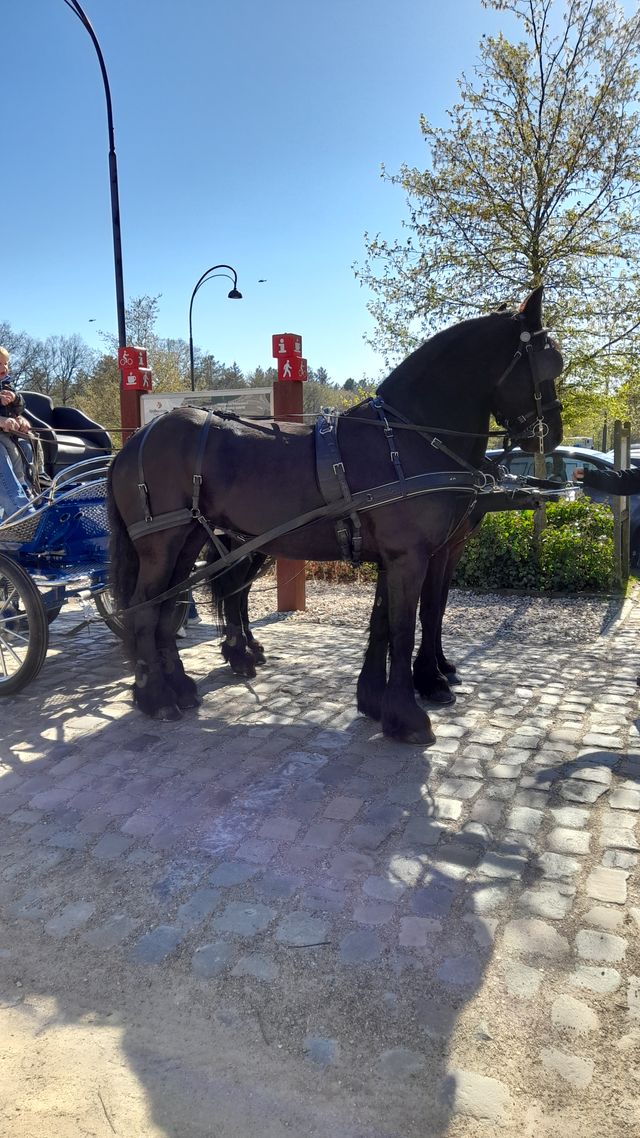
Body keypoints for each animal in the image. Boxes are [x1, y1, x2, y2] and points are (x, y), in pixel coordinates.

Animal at [107, 285, 563, 744]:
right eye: (549, 364)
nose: (552, 433)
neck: (405, 438)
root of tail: (137, 439)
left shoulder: (401, 557)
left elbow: (386, 623)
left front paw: (378, 701)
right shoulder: (413, 557)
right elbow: (408, 625)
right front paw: (411, 711)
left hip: (193, 541)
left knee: (174, 604)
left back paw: (181, 685)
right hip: (166, 546)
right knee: (147, 608)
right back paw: (158, 695)